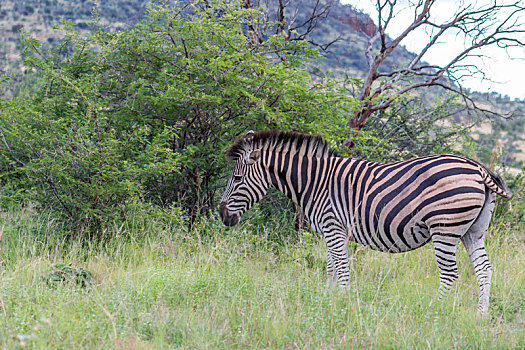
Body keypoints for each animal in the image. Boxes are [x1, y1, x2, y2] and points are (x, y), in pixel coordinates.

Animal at [218, 130, 512, 316]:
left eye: (237, 179)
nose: (222, 215)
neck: (315, 182)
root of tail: (478, 168)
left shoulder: (333, 226)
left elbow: (341, 268)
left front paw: (343, 303)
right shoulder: (333, 230)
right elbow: (331, 268)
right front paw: (329, 299)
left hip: (445, 230)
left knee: (450, 274)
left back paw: (433, 310)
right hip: (473, 231)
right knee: (484, 270)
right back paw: (481, 315)